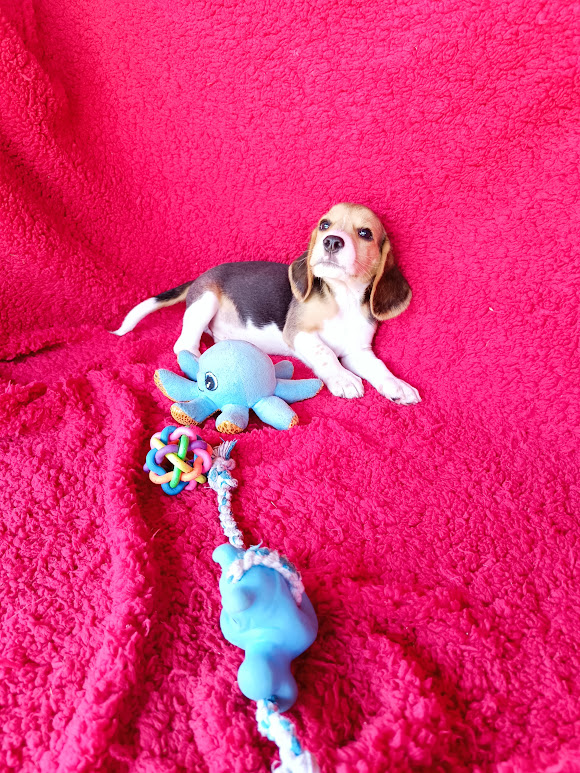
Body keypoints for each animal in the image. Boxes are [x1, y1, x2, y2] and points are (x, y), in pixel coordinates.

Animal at [112, 203, 420, 404]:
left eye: (365, 233)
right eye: (325, 225)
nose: (332, 241)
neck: (342, 296)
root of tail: (201, 276)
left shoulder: (358, 351)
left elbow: (379, 367)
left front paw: (397, 385)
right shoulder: (298, 333)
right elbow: (326, 354)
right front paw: (344, 379)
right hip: (205, 301)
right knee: (184, 345)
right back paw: (199, 360)